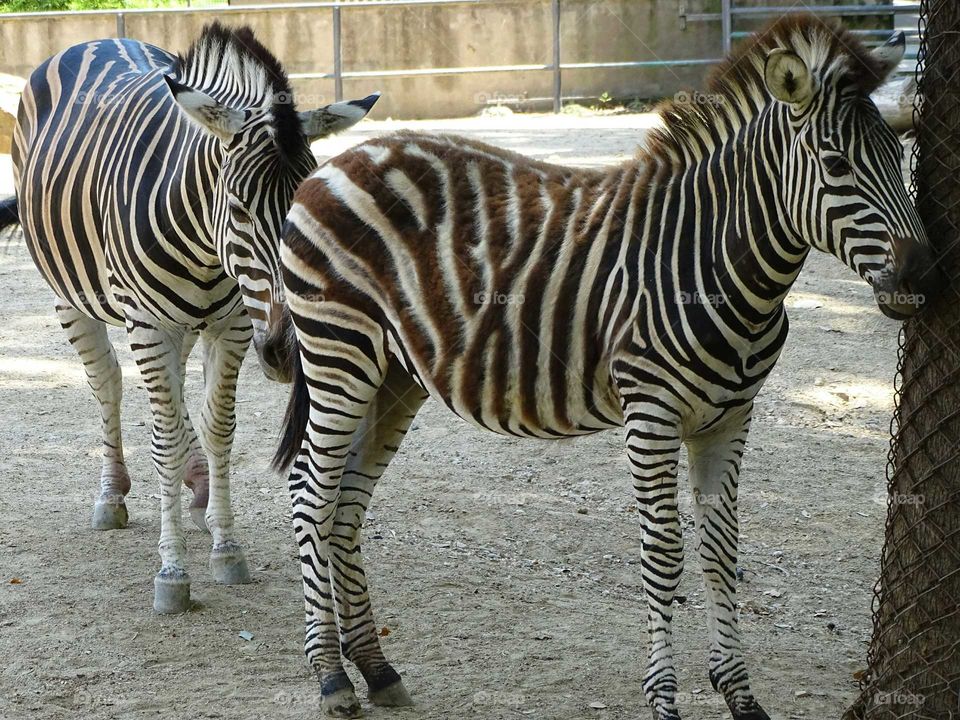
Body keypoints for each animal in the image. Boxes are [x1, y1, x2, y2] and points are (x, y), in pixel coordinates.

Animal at [2, 23, 378, 615]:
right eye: (240, 208)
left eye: (304, 203)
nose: (289, 351)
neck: (205, 244)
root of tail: (98, 40)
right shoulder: (150, 322)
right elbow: (161, 440)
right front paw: (172, 572)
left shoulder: (234, 325)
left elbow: (217, 428)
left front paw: (226, 548)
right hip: (73, 296)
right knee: (107, 383)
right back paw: (112, 495)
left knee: (175, 402)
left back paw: (195, 488)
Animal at [272, 15, 943, 720]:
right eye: (837, 165)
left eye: (901, 156)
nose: (925, 277)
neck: (716, 262)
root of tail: (335, 165)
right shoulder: (651, 413)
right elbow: (665, 555)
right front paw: (665, 701)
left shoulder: (731, 417)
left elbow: (722, 550)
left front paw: (740, 694)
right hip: (339, 352)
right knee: (310, 494)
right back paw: (331, 676)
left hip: (394, 376)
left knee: (346, 502)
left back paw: (375, 669)